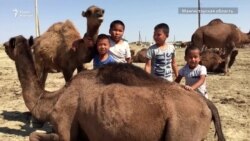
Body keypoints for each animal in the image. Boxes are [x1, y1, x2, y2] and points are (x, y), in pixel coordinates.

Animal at [4, 35, 227, 141]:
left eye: (9, 44)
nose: (4, 44)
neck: (53, 100)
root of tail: (207, 104)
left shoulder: (65, 130)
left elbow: (33, 136)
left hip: (182, 129)